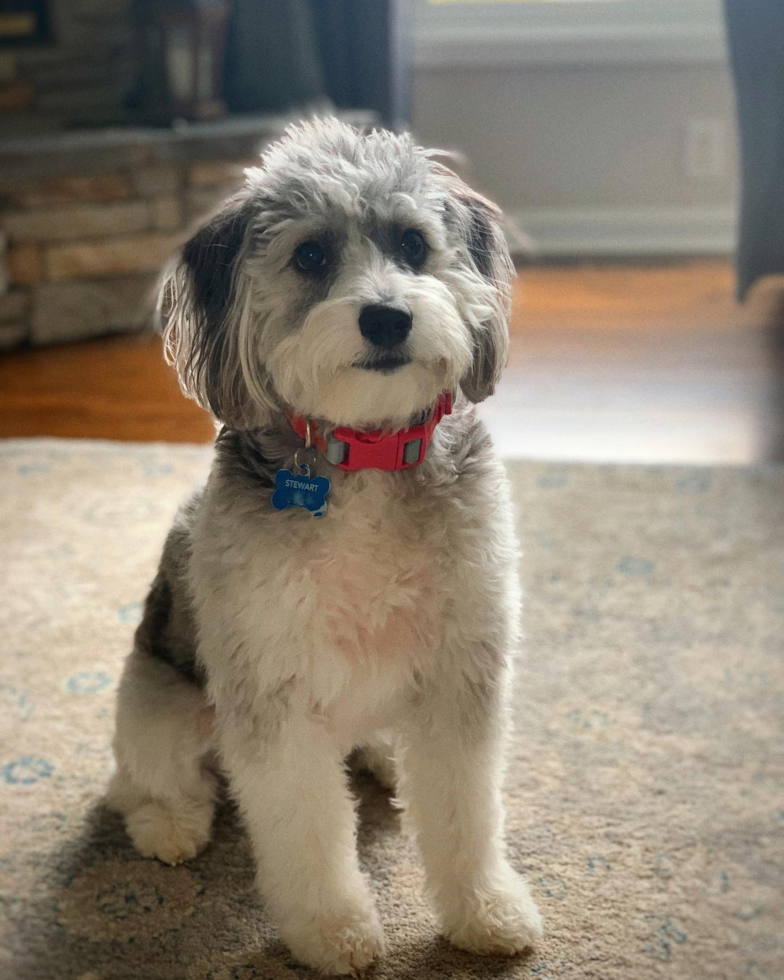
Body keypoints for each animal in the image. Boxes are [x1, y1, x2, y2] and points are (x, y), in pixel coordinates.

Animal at [107, 118, 544, 976]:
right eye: (310, 256)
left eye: (412, 244)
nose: (387, 318)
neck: (366, 455)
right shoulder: (274, 700)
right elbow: (307, 832)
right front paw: (333, 931)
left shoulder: (461, 674)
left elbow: (465, 812)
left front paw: (484, 910)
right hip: (159, 703)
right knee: (147, 781)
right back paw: (169, 824)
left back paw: (384, 755)